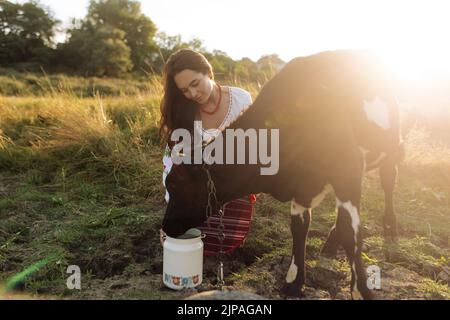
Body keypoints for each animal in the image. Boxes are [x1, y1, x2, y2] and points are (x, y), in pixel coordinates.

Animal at [163, 50, 404, 300]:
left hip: (392, 148)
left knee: (388, 182)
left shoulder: (346, 169)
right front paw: (294, 282)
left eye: (176, 185)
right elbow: (299, 227)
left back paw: (390, 229)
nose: (166, 226)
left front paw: (361, 290)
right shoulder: (303, 184)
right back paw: (331, 242)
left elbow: (351, 232)